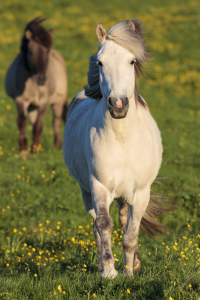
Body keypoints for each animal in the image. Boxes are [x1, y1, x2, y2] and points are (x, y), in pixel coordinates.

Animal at [4, 17, 68, 156]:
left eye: (47, 51)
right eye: (31, 52)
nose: (42, 79)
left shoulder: (44, 102)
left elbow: (39, 124)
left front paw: (35, 150)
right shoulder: (20, 100)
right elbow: (22, 122)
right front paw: (23, 150)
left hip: (58, 102)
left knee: (56, 120)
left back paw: (57, 145)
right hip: (33, 106)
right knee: (33, 122)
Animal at [63, 18, 167, 276]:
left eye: (132, 61)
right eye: (100, 62)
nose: (118, 104)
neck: (123, 140)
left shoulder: (141, 193)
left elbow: (131, 233)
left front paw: (129, 273)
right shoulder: (99, 186)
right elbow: (103, 225)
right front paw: (109, 271)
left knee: (124, 219)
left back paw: (135, 263)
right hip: (86, 192)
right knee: (96, 226)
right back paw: (102, 264)